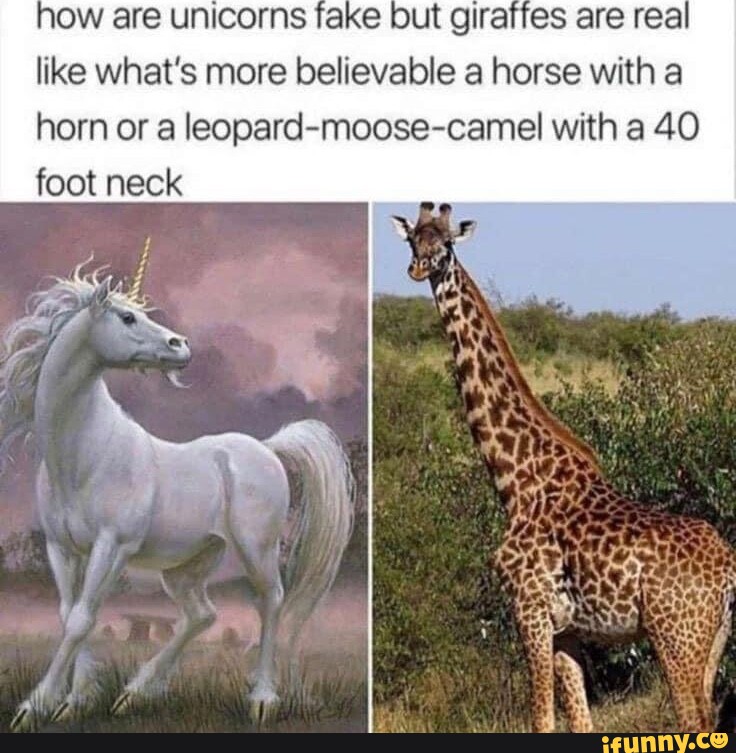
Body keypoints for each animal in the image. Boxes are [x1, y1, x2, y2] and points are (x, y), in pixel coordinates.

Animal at [390, 202, 736, 733]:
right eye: (413, 240)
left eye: (445, 244)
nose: (418, 268)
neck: (517, 478)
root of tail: (728, 570)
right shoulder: (568, 628)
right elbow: (580, 719)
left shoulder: (529, 608)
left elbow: (541, 719)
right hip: (712, 642)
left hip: (677, 637)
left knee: (693, 720)